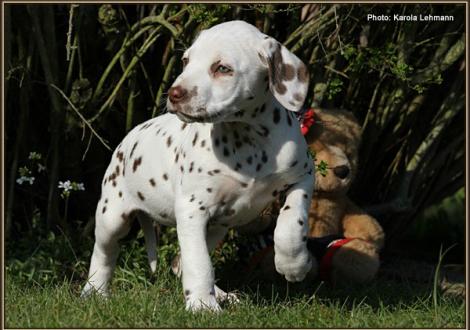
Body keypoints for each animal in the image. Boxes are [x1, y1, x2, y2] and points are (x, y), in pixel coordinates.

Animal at [81, 20, 316, 312]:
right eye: (185, 61)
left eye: (222, 68)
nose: (174, 93)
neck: (248, 138)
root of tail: (129, 136)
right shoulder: (192, 209)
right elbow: (199, 262)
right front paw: (203, 305)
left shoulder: (303, 176)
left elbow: (292, 221)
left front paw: (294, 264)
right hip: (112, 215)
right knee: (104, 253)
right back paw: (95, 291)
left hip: (217, 226)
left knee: (179, 262)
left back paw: (223, 294)